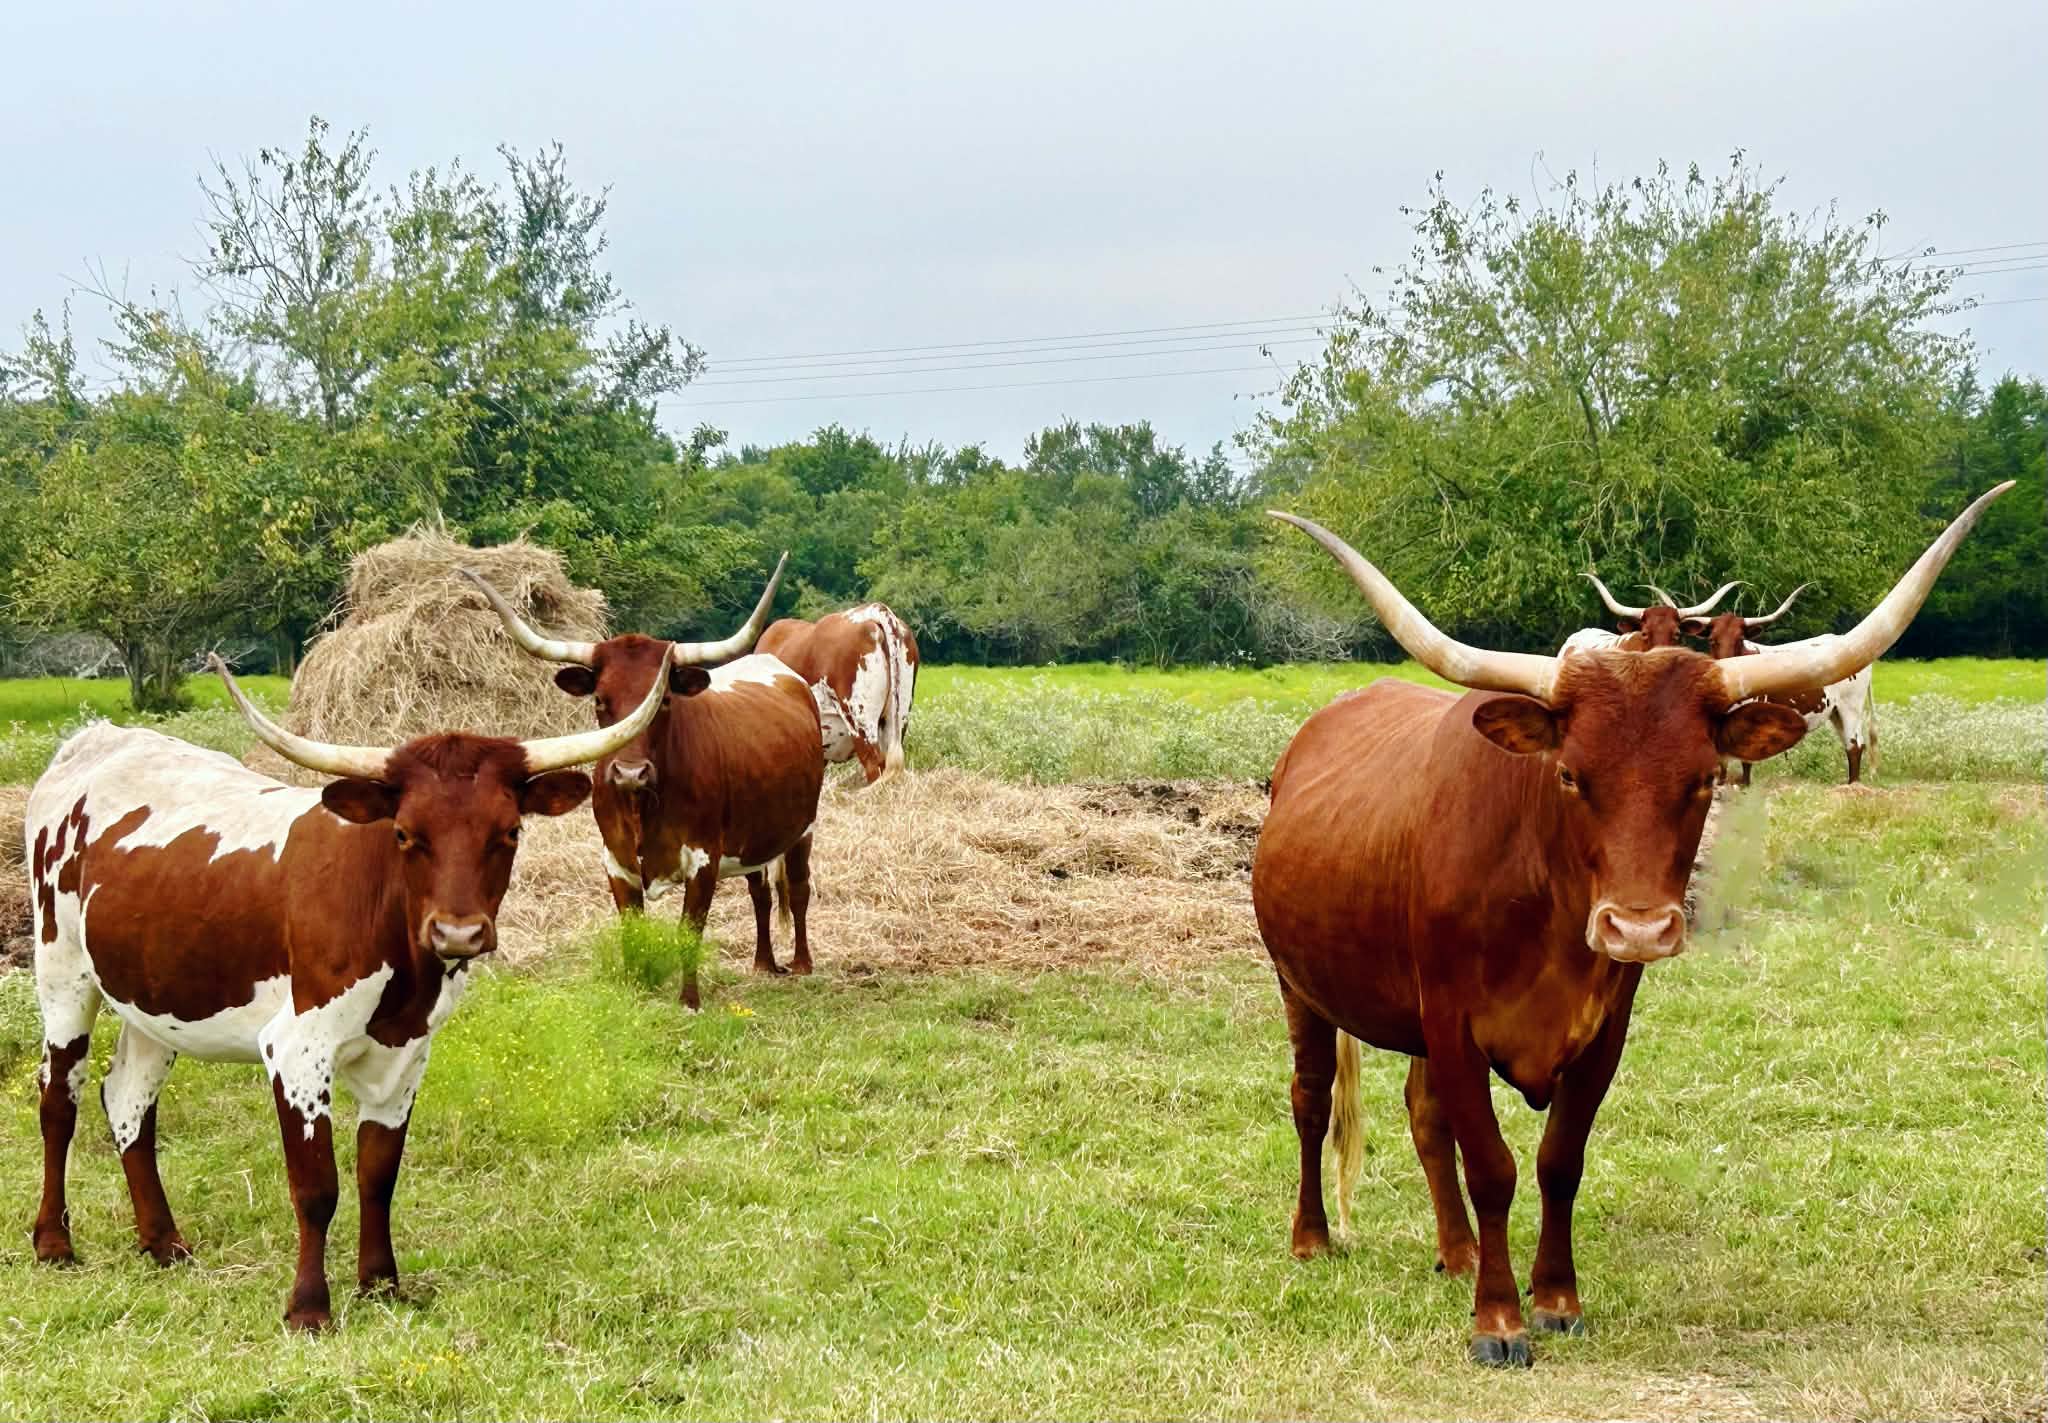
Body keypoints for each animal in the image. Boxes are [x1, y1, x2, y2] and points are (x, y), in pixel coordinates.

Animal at [26, 655, 664, 1330]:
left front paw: (382, 1283)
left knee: (128, 1100)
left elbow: (377, 1173)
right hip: (63, 977)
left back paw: (162, 1241)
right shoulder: (298, 1049)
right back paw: (54, 1242)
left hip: (152, 997)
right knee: (58, 1101)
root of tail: (96, 740)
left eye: (510, 832)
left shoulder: (408, 1051)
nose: (458, 934)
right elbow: (317, 1186)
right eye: (406, 834)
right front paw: (309, 1306)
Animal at [463, 559, 824, 1009]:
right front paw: (636, 988)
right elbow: (632, 930)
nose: (630, 773)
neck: (644, 807)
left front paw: (689, 1000)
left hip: (804, 828)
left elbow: (690, 931)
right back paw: (762, 964)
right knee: (759, 891)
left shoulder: (703, 858)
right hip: (754, 836)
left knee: (799, 887)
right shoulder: (616, 860)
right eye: (600, 700)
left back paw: (802, 964)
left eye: (664, 700)